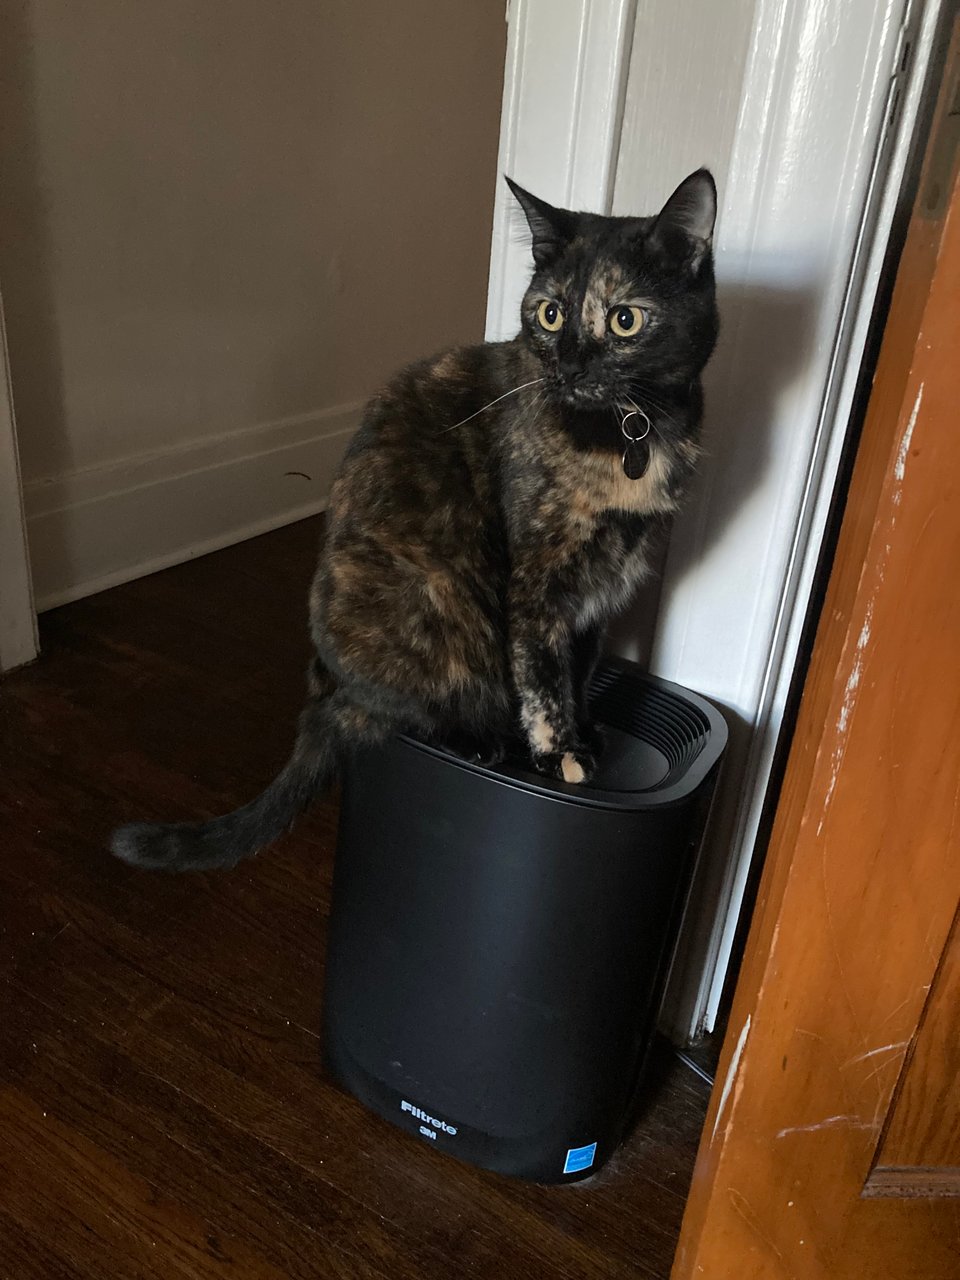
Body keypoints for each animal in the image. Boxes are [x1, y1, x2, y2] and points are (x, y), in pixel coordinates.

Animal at [108, 170, 716, 870]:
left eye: (624, 319)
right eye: (551, 313)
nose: (567, 366)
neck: (630, 434)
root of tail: (327, 696)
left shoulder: (602, 582)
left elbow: (582, 665)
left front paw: (585, 729)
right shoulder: (539, 579)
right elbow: (542, 671)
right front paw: (562, 753)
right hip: (435, 596)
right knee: (414, 706)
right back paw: (480, 739)